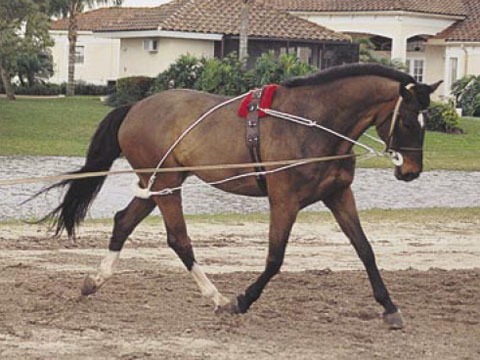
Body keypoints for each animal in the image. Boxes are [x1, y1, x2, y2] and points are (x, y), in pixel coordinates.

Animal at [42, 64, 442, 330]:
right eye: (409, 121)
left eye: (427, 122)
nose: (411, 171)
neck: (313, 124)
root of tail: (135, 108)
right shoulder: (284, 202)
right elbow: (275, 260)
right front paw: (243, 300)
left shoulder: (339, 196)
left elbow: (365, 250)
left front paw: (389, 307)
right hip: (168, 185)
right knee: (178, 239)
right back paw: (217, 298)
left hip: (158, 185)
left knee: (123, 223)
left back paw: (95, 281)